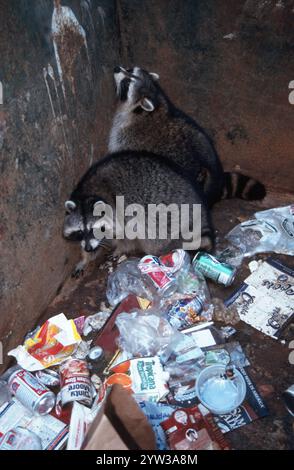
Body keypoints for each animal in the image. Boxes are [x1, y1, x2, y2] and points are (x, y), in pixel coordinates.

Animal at [63, 151, 212, 278]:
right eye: (80, 232)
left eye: (97, 229)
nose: (88, 248)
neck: (88, 195)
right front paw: (85, 258)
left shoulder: (121, 210)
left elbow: (127, 236)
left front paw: (119, 249)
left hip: (170, 214)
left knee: (151, 234)